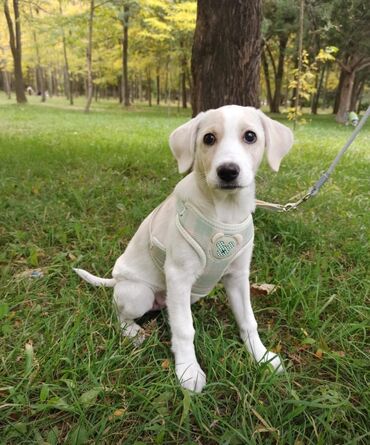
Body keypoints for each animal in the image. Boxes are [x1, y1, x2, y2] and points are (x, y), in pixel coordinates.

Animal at [75, 105, 294, 392]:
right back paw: (132, 332)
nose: (228, 171)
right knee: (119, 312)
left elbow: (248, 320)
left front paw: (262, 357)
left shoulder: (238, 276)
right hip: (138, 293)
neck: (226, 212)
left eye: (250, 136)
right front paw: (188, 371)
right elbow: (184, 328)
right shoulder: (179, 275)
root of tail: (116, 280)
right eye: (209, 138)